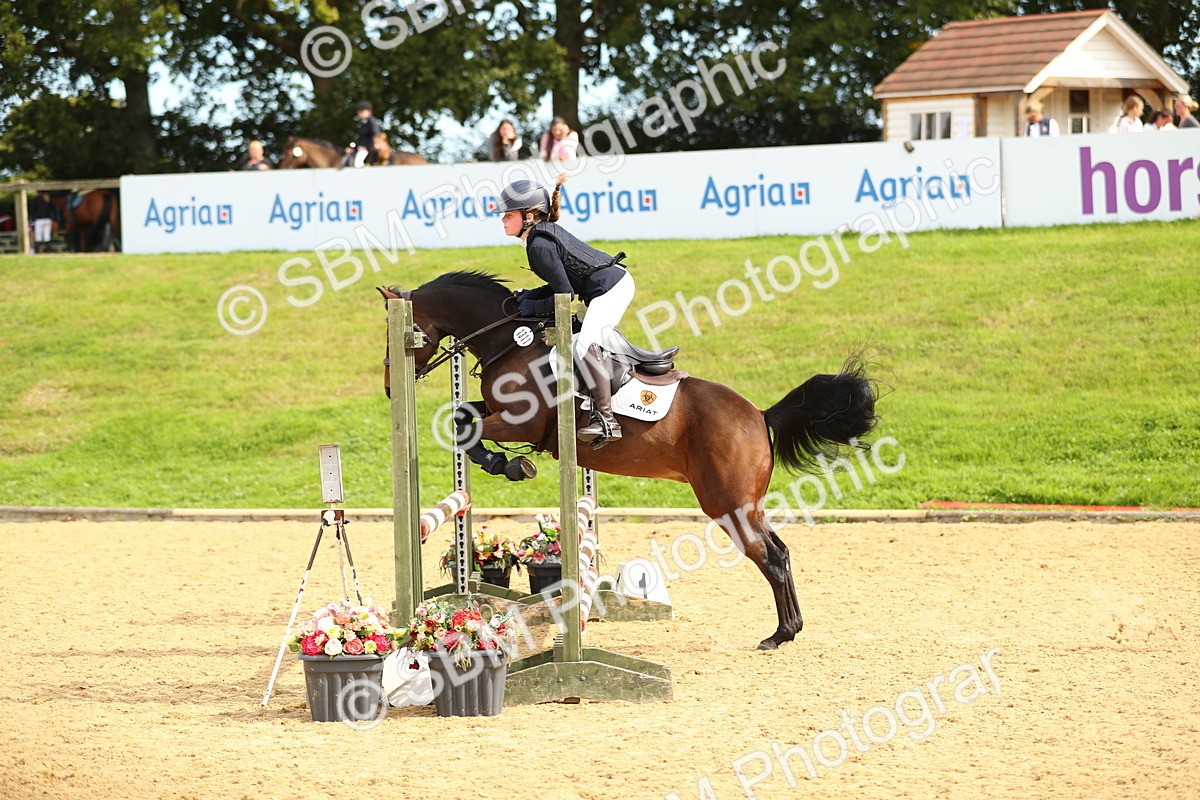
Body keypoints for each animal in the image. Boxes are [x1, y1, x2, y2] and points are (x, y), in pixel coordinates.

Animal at [378, 272, 880, 650]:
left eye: (397, 337)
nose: (387, 387)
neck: (510, 342)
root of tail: (759, 414)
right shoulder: (498, 413)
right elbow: (464, 415)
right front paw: (505, 463)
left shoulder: (523, 424)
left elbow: (465, 427)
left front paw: (510, 465)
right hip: (747, 504)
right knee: (780, 550)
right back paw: (791, 629)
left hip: (726, 503)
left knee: (769, 556)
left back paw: (777, 636)